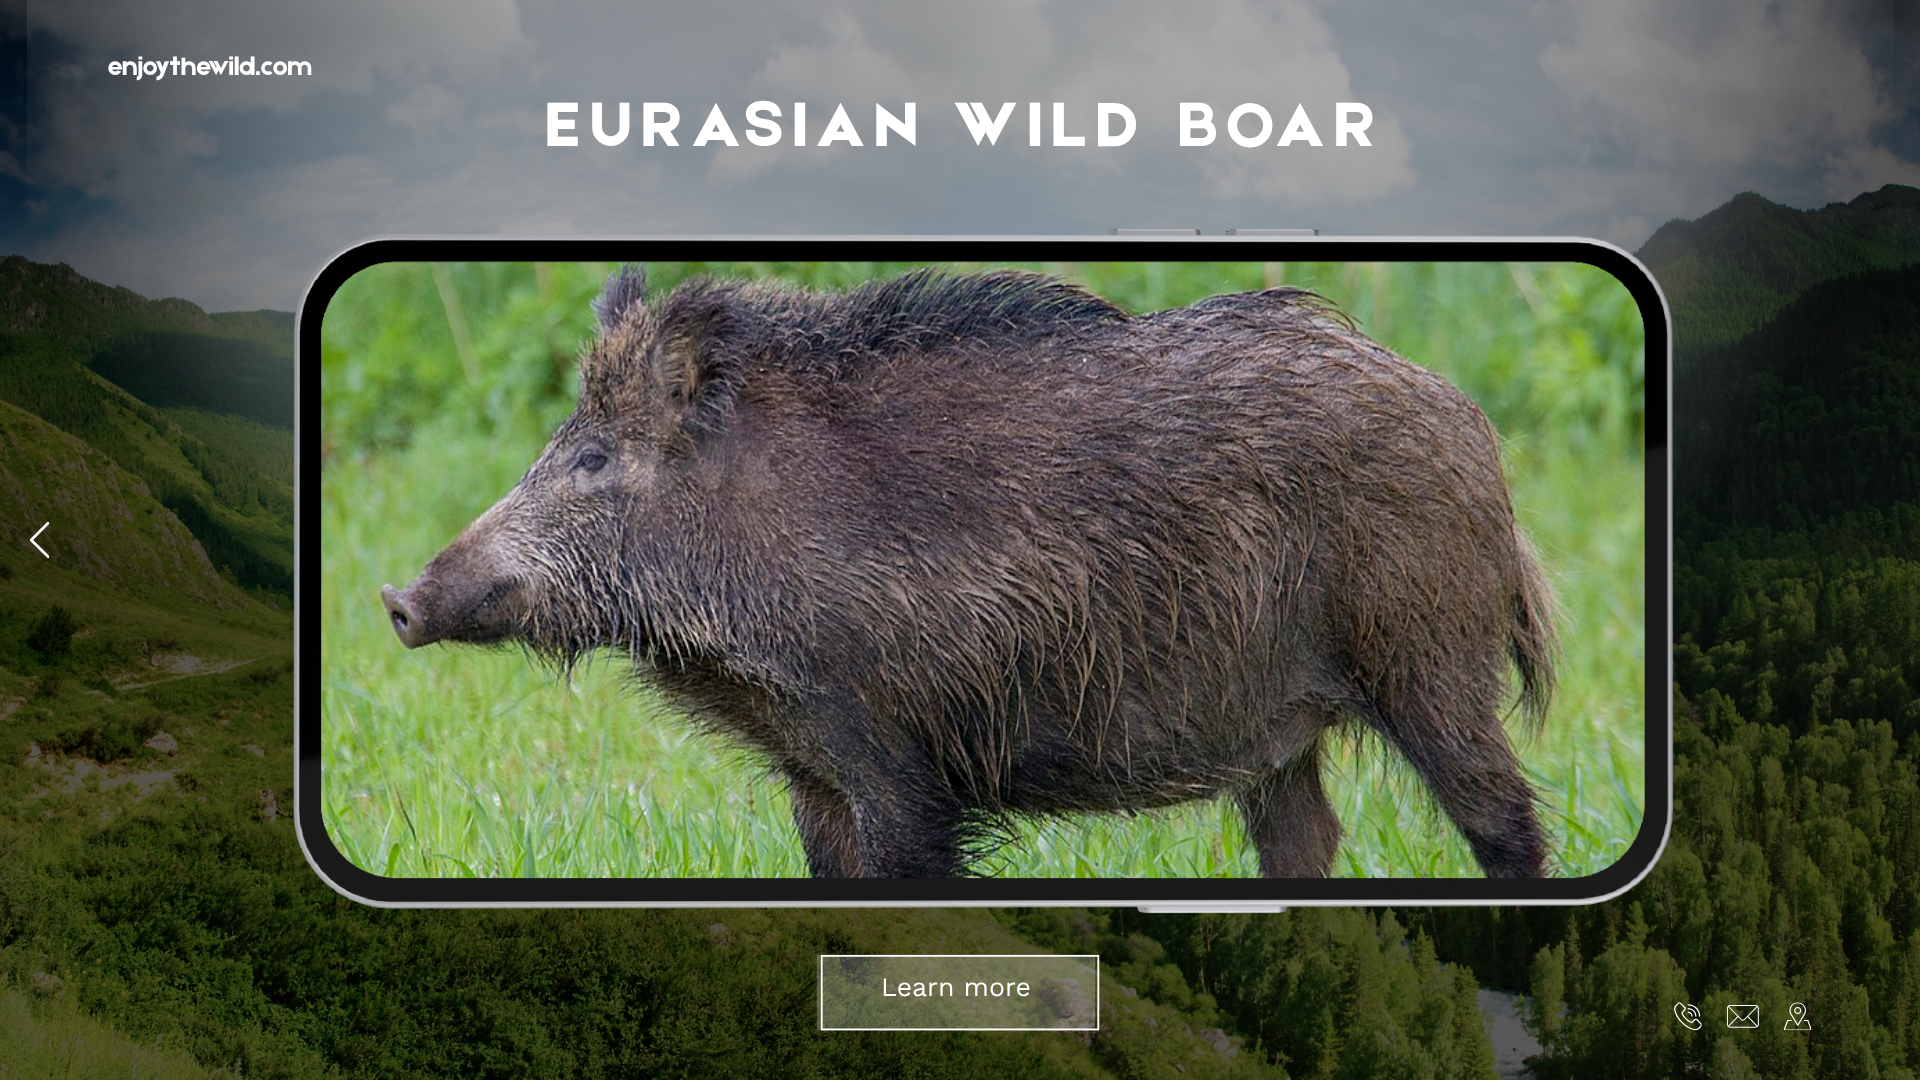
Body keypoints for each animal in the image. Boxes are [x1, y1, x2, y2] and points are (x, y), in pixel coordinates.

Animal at [380, 266, 1556, 879]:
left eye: (592, 458)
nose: (396, 599)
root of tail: (1468, 421)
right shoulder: (814, 767)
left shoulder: (900, 754)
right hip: (1281, 724)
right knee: (1306, 837)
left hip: (1429, 656)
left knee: (1502, 816)